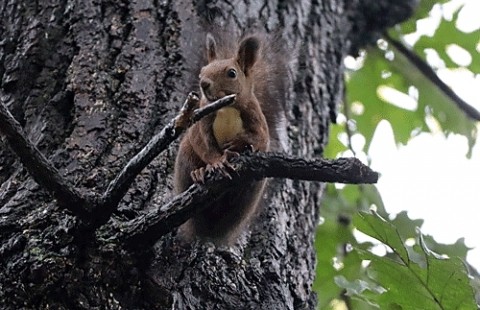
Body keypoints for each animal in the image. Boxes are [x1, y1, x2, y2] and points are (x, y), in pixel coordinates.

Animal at [174, 30, 286, 245]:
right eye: (201, 72)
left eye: (232, 73)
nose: (203, 84)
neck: (226, 107)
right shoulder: (202, 122)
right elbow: (204, 145)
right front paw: (217, 162)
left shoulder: (256, 119)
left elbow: (260, 140)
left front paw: (236, 145)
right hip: (185, 157)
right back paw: (198, 172)